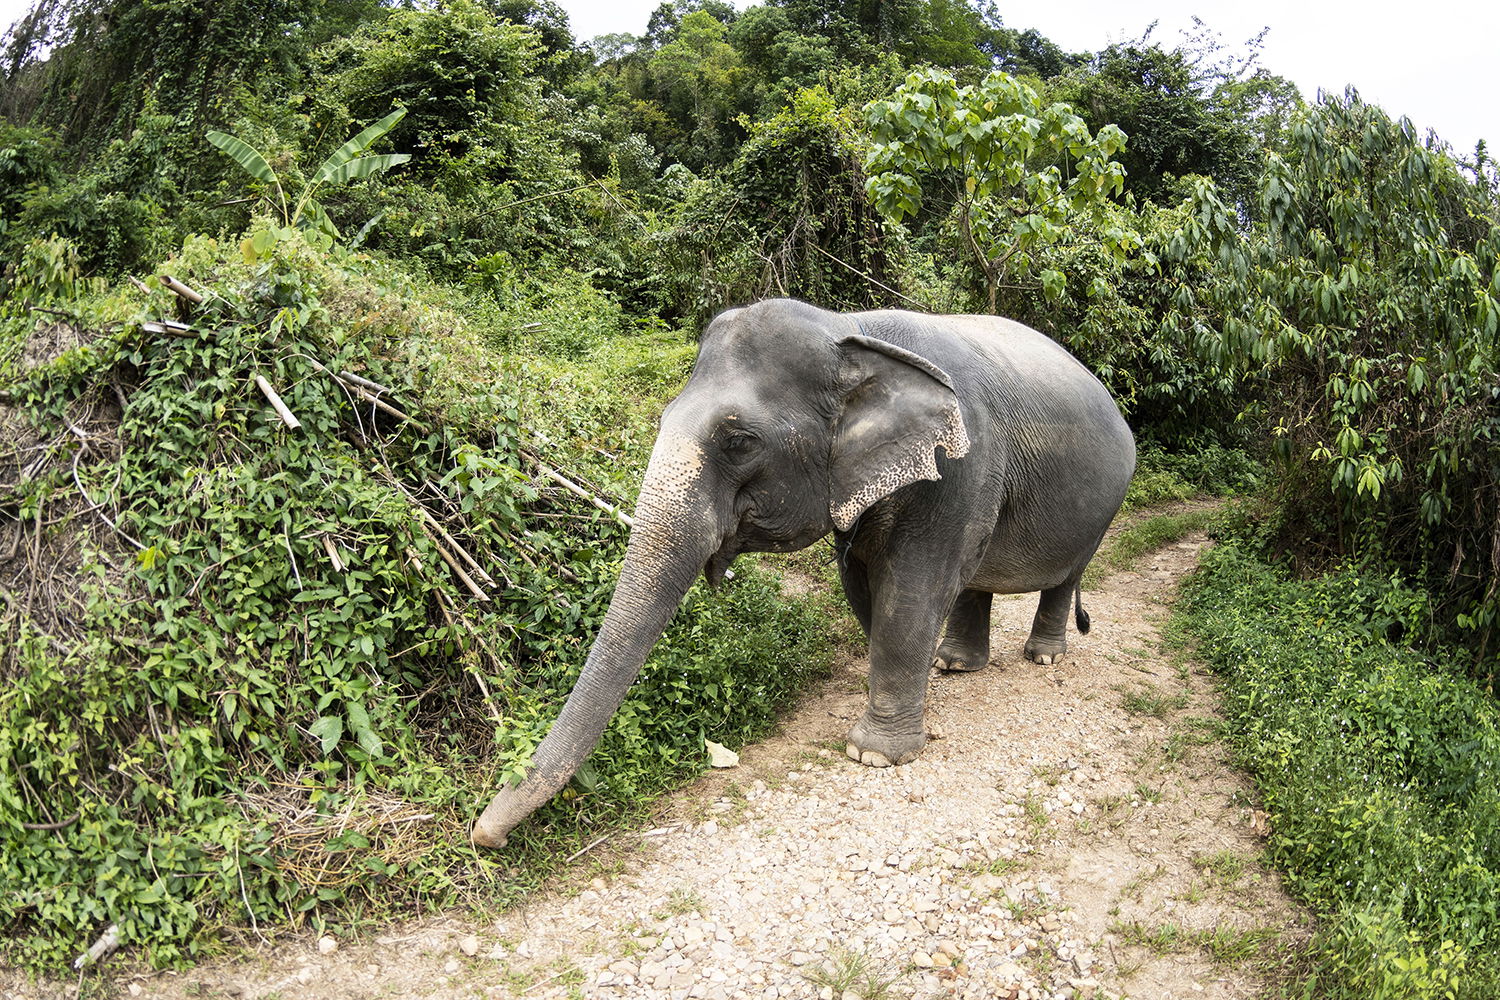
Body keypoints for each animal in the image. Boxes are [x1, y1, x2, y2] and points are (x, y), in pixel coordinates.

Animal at [474, 301, 1128, 851]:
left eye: (740, 441)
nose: (486, 836)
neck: (853, 331)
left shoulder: (959, 468)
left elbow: (911, 596)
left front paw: (874, 756)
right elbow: (865, 588)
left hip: (1103, 507)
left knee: (1064, 575)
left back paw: (1042, 656)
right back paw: (954, 664)